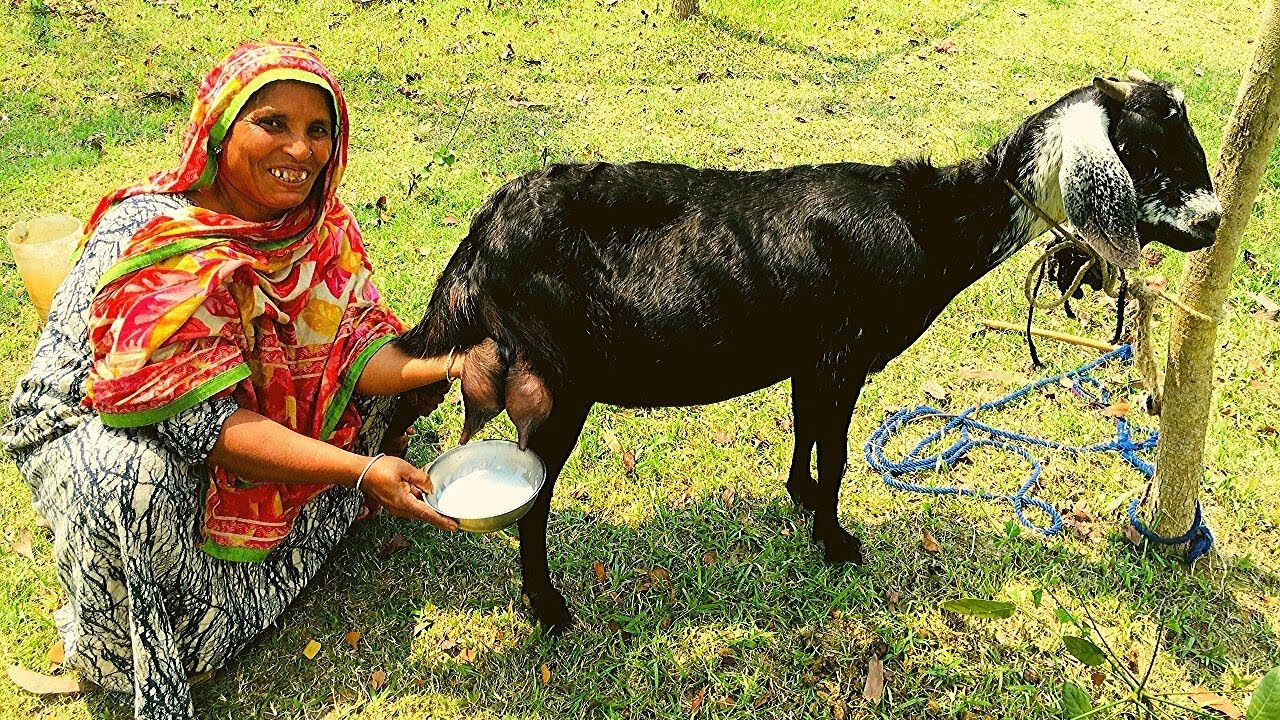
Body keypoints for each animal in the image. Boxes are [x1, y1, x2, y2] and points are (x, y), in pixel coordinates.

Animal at [396, 75, 1218, 630]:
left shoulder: (809, 357)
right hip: (563, 378)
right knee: (533, 497)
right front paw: (835, 540)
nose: (1212, 223)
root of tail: (485, 229)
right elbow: (838, 451)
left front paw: (798, 497)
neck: (925, 221)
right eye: (1148, 147)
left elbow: (805, 431)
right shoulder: (841, 356)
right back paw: (548, 606)